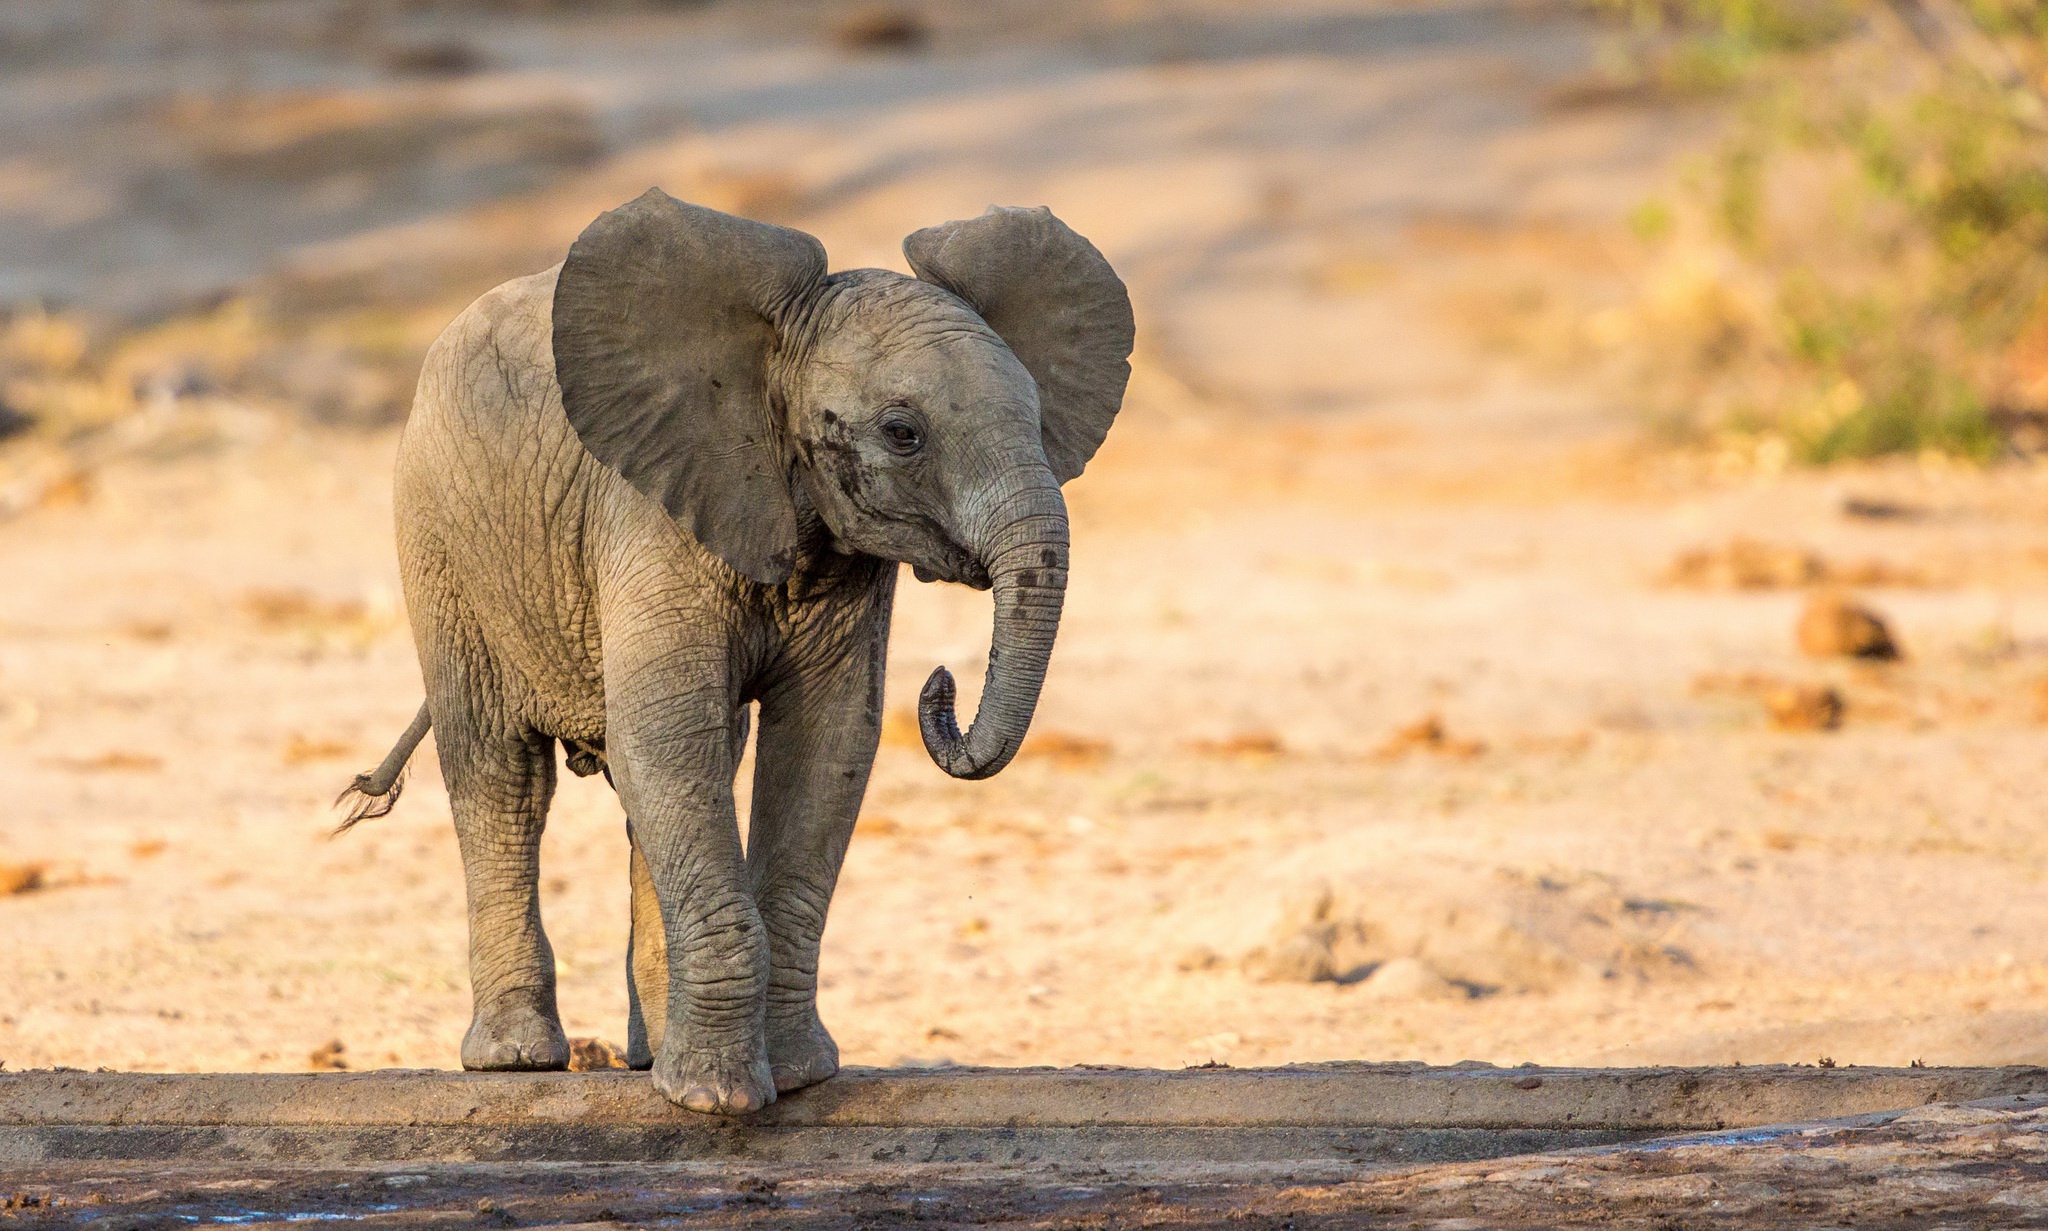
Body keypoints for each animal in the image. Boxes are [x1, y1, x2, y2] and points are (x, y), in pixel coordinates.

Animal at [335, 184, 1138, 1114]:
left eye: (1040, 420)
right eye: (903, 432)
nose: (939, 687)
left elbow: (824, 746)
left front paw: (792, 1077)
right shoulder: (651, 515)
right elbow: (670, 738)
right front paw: (717, 1101)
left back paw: (647, 1057)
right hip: (440, 535)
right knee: (502, 771)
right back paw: (517, 1058)